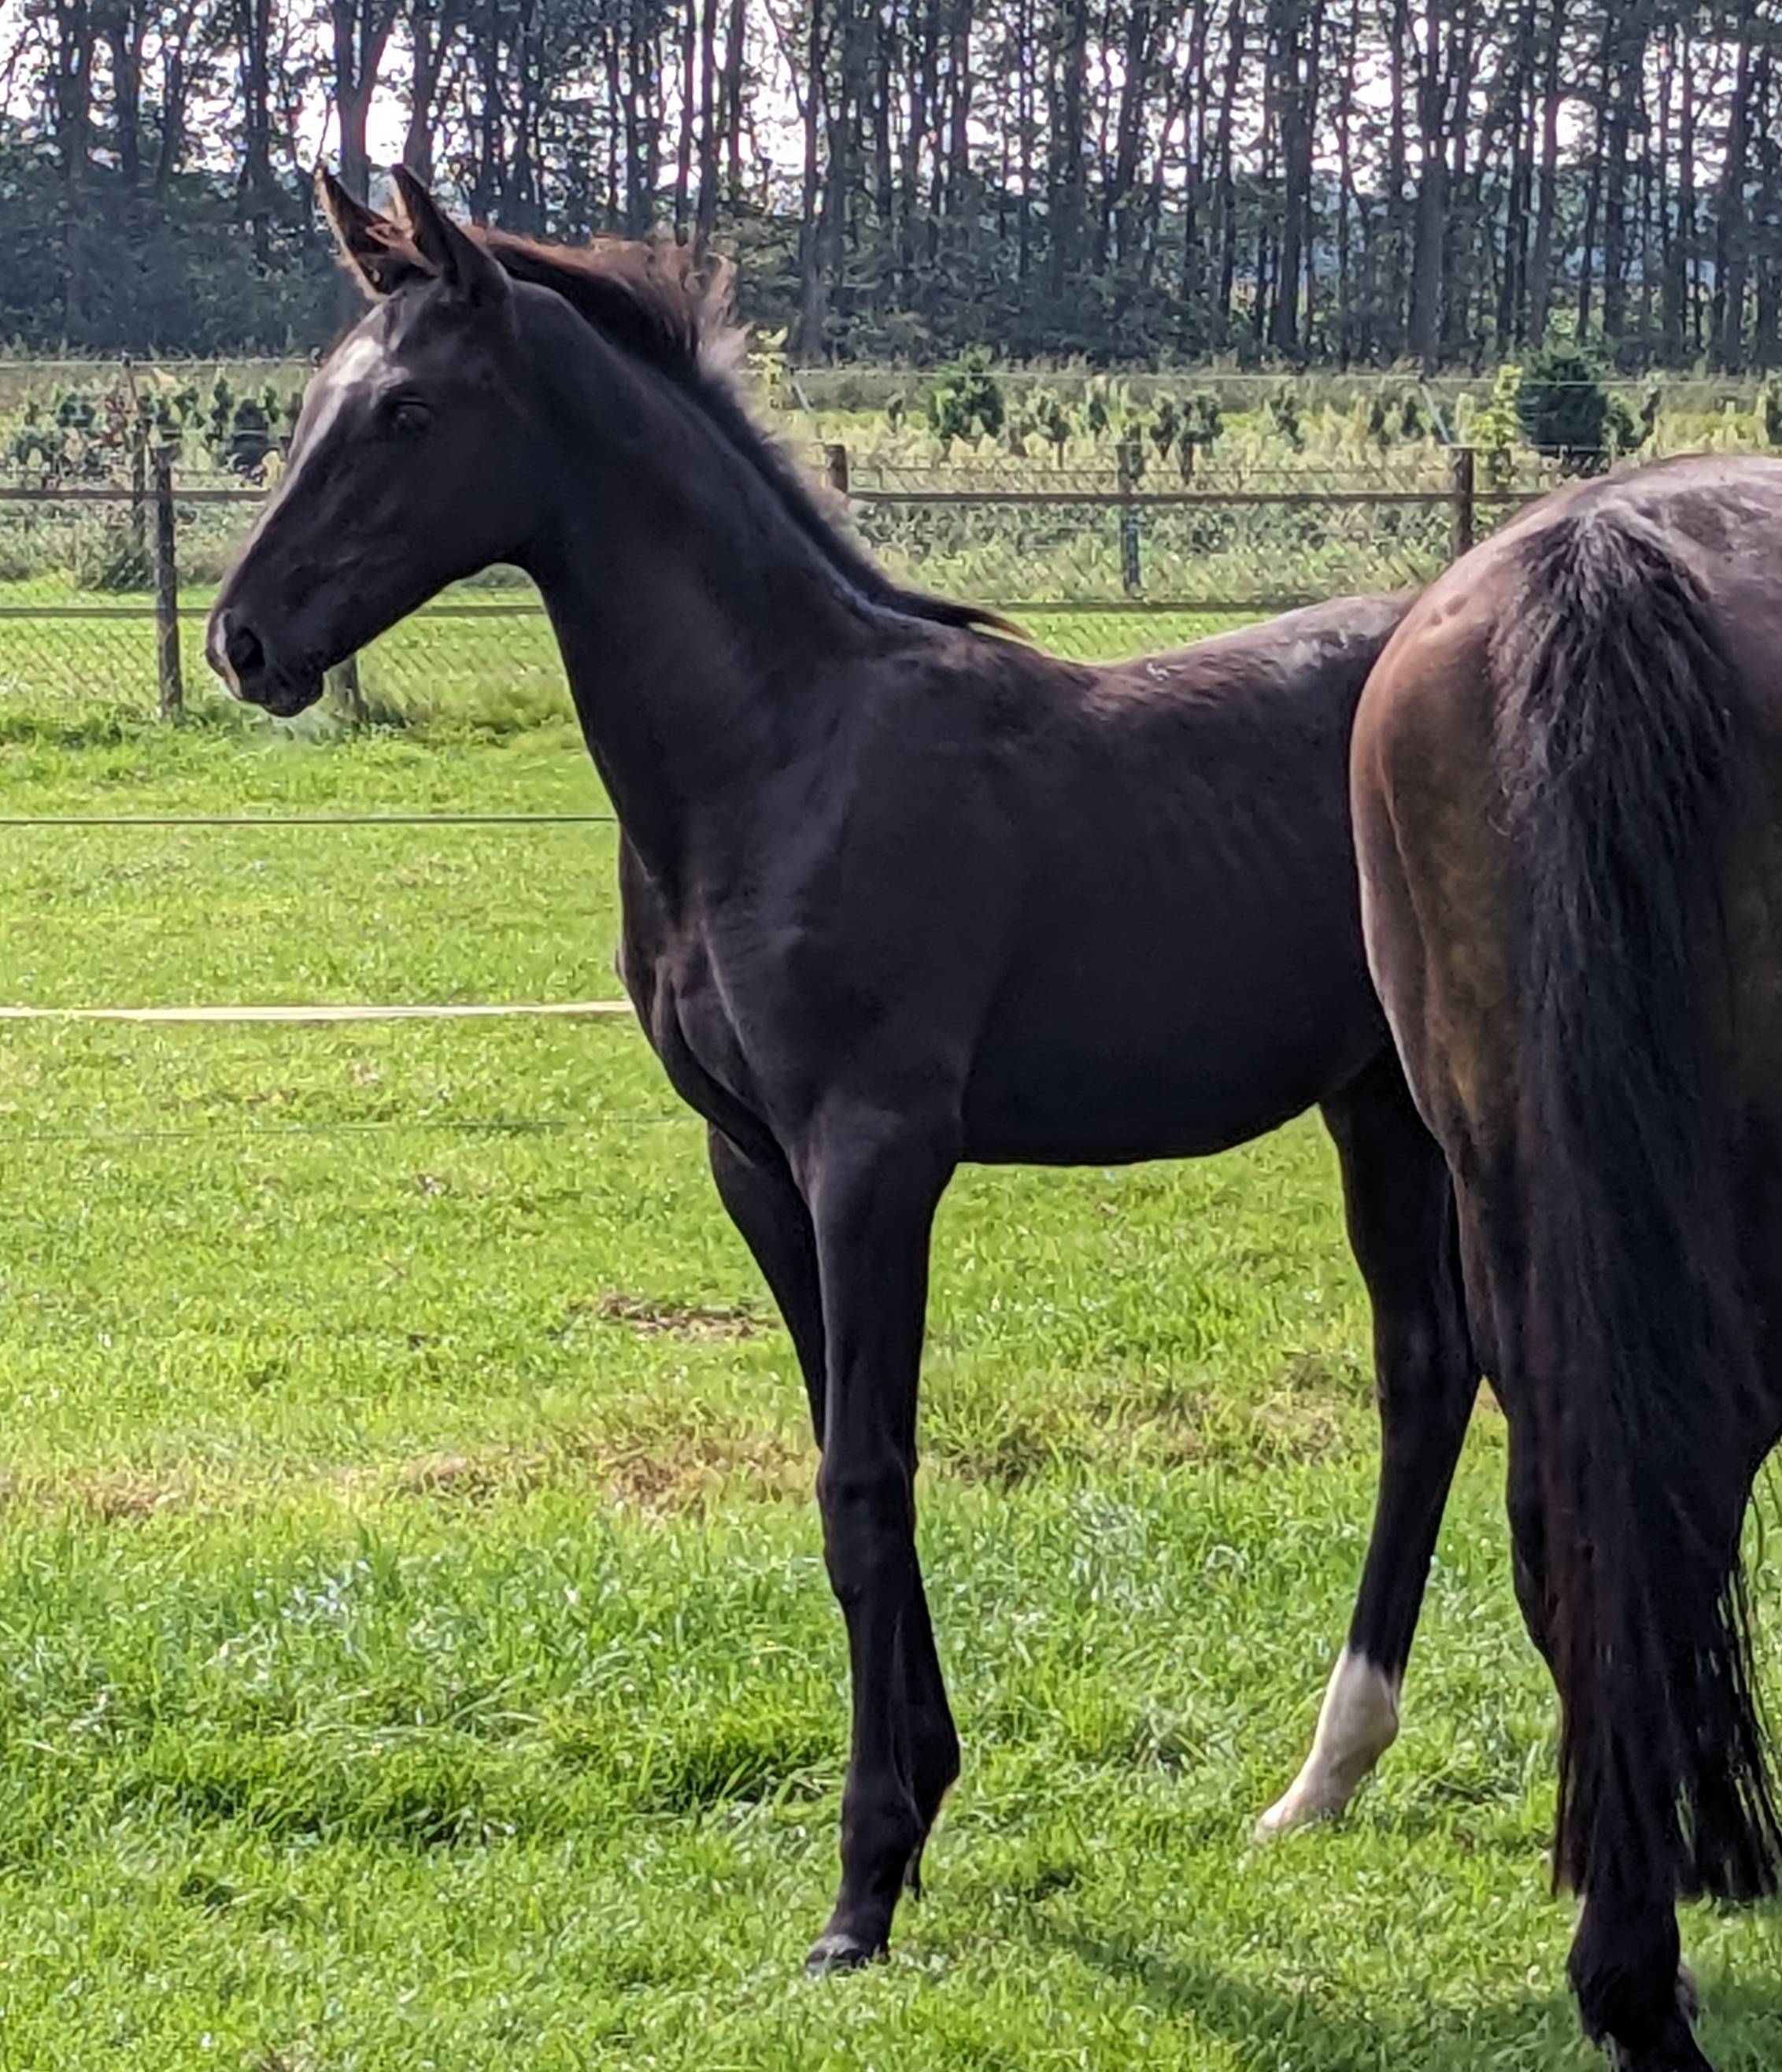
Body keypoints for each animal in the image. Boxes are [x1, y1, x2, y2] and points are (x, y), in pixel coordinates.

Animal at [207, 167, 1478, 1973]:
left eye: (404, 412)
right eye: (312, 398)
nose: (245, 641)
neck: (777, 752)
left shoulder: (873, 1153)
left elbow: (860, 1477)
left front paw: (863, 1883)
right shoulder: (754, 1162)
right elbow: (842, 1454)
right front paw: (923, 1793)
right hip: (1376, 1106)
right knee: (1426, 1370)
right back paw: (1323, 1775)